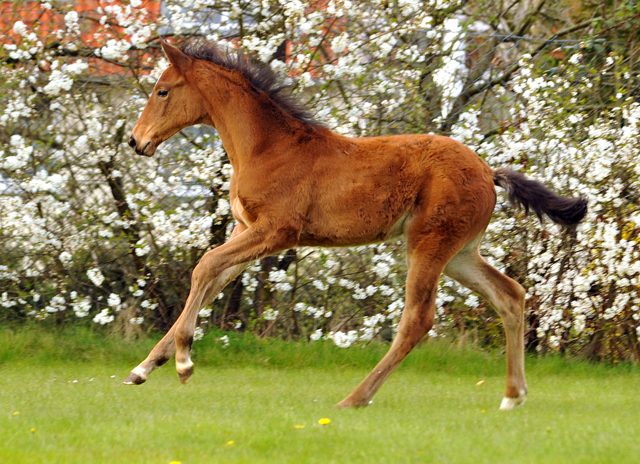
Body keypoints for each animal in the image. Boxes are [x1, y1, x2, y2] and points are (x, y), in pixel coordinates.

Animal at [122, 39, 588, 410]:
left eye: (162, 90)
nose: (135, 140)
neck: (267, 147)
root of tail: (488, 170)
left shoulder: (276, 232)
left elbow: (203, 266)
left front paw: (184, 363)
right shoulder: (246, 231)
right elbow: (210, 281)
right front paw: (143, 368)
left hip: (428, 242)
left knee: (418, 319)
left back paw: (355, 398)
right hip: (459, 253)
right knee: (510, 296)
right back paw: (512, 396)